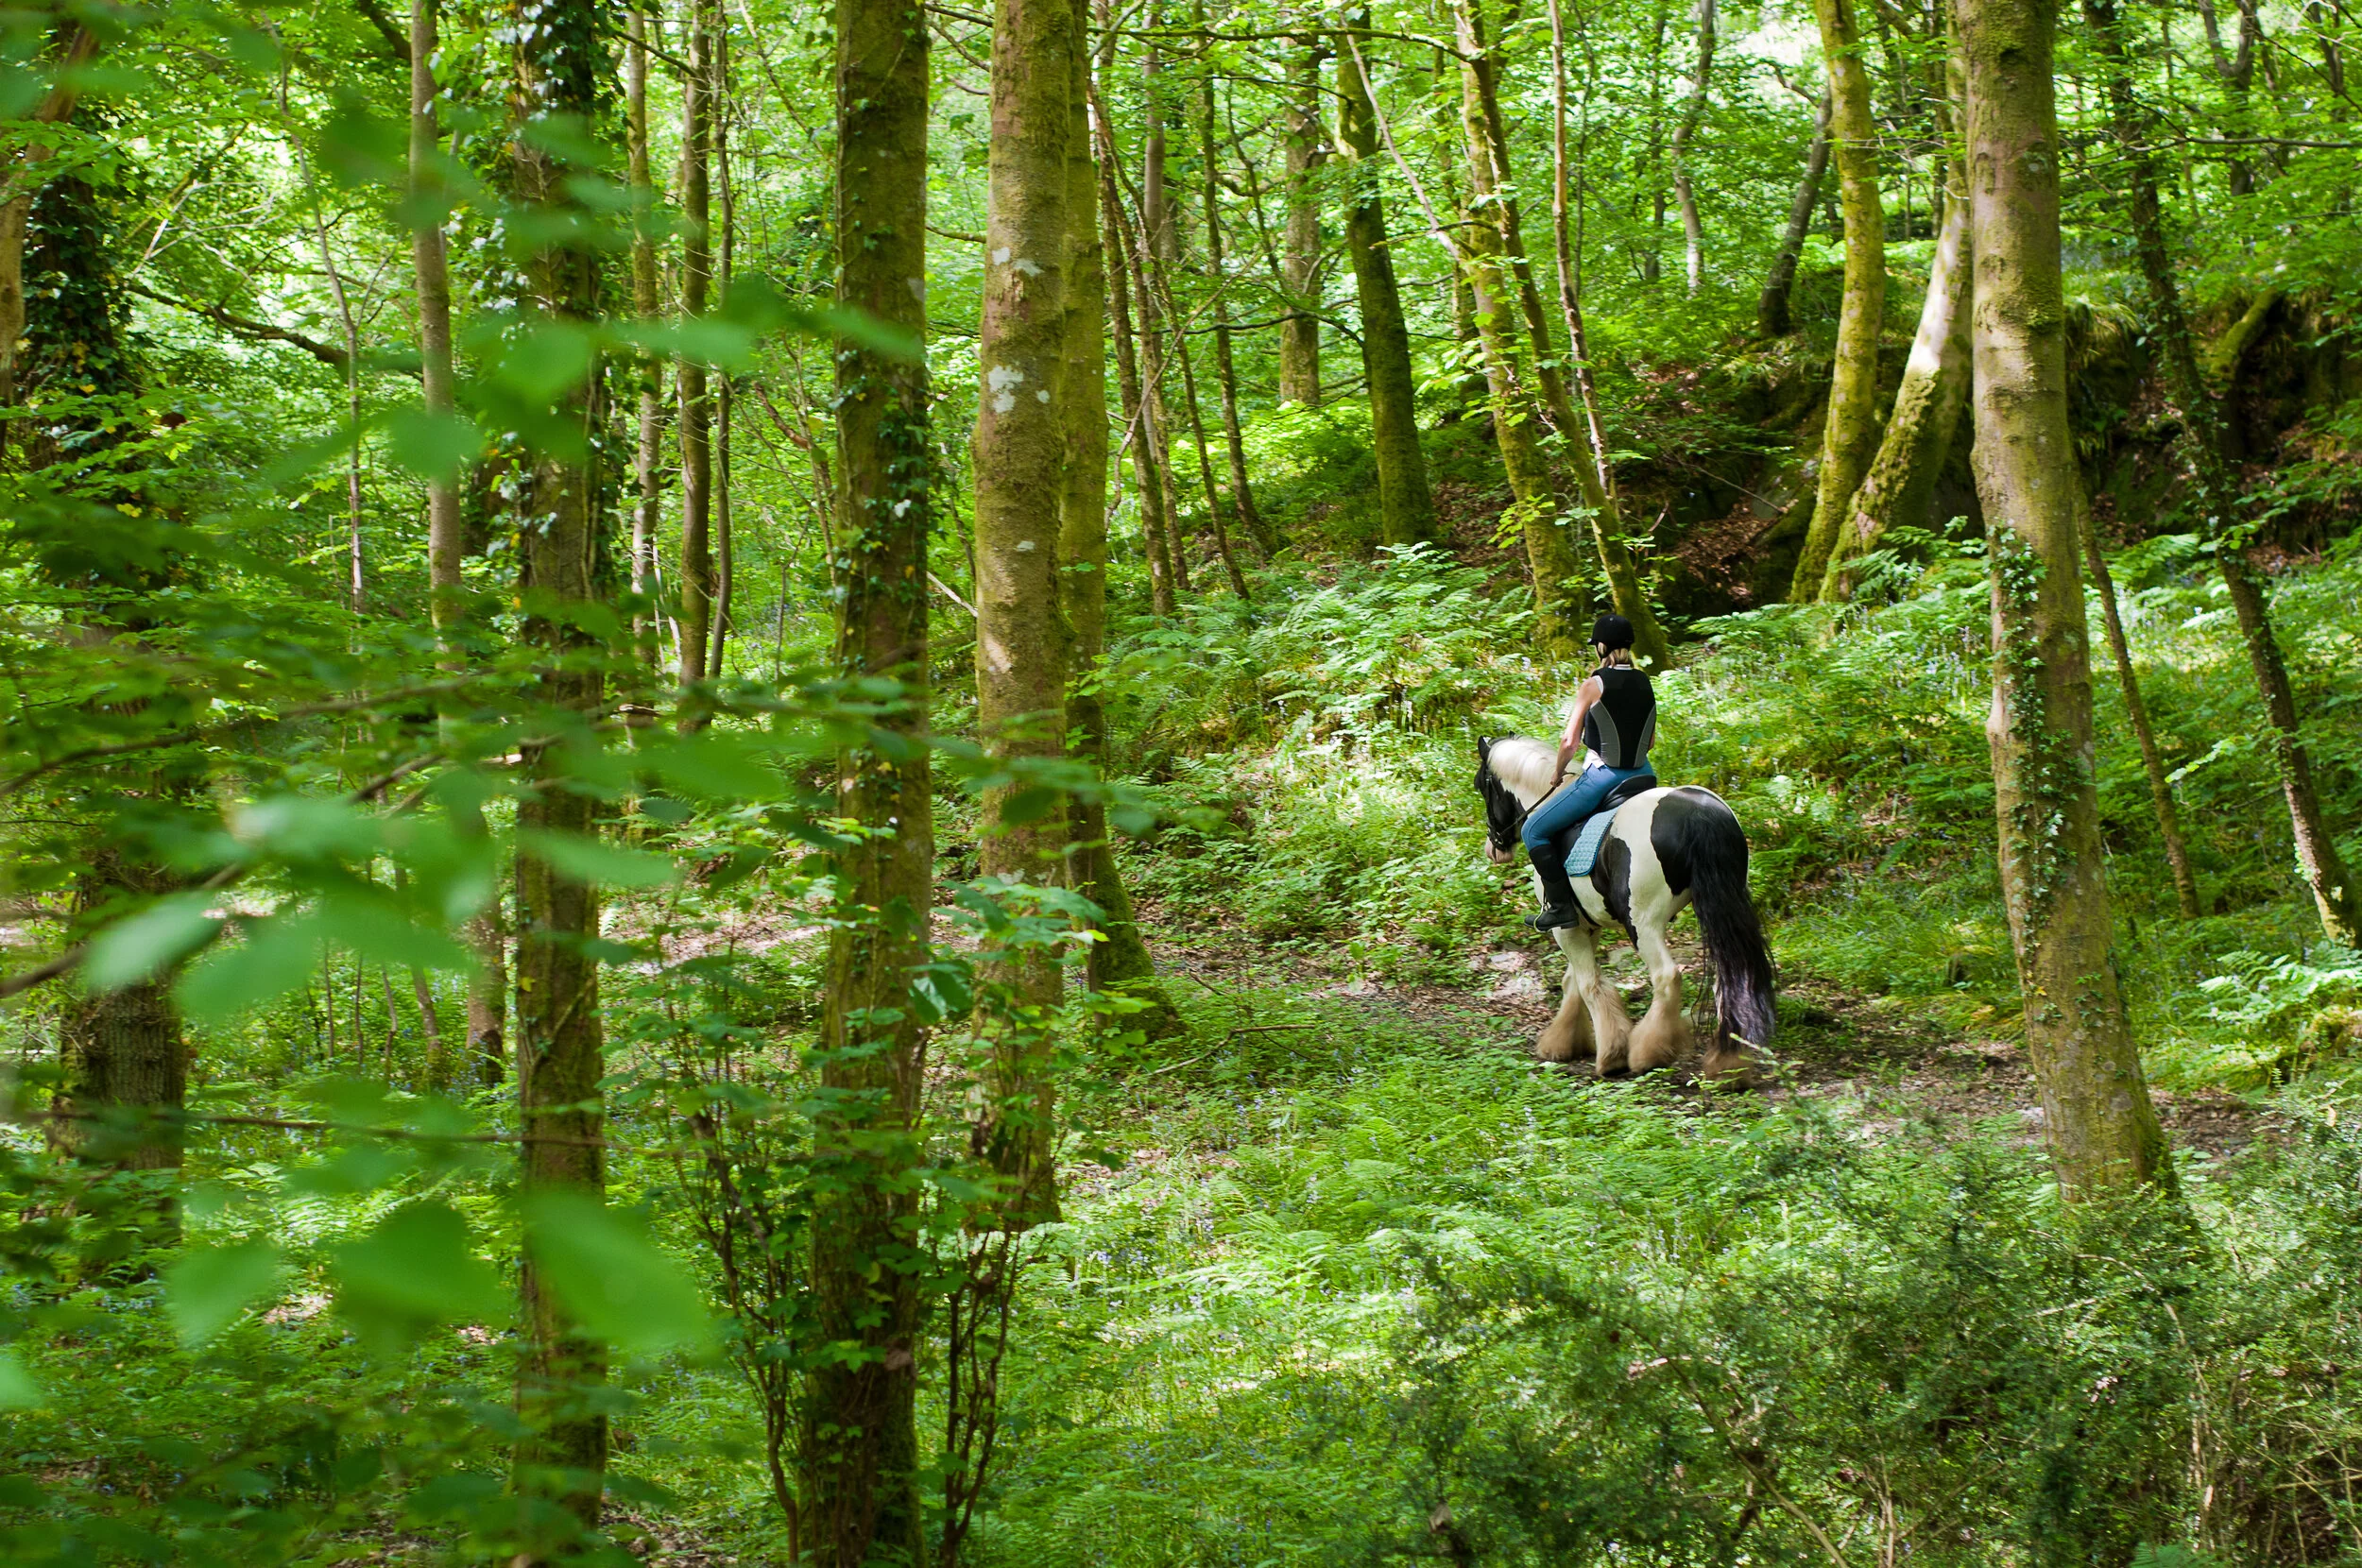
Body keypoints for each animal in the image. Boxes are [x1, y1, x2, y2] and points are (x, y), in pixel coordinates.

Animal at [1474, 735, 1776, 1084]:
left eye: (1482, 787)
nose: (1493, 848)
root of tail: (1698, 814)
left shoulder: (1565, 927)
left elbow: (1587, 984)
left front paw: (1610, 1055)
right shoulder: (1585, 925)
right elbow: (1573, 981)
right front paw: (1564, 1042)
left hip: (1642, 923)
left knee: (1666, 977)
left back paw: (1649, 1051)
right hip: (1720, 907)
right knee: (1731, 977)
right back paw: (1729, 1063)